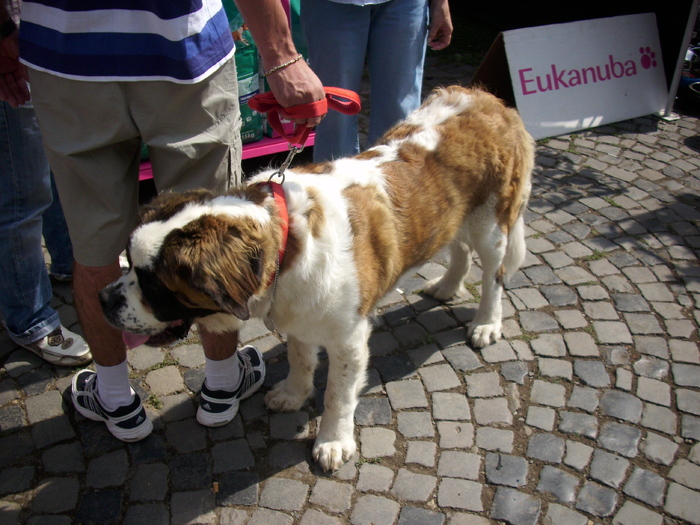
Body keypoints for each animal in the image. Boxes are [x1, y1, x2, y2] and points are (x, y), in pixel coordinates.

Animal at [100, 86, 536, 470]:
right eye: (128, 264)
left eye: (153, 285)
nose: (104, 300)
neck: (284, 244)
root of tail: (489, 100)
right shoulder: (298, 312)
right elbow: (300, 356)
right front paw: (294, 393)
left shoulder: (348, 338)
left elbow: (338, 395)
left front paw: (332, 441)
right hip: (454, 215)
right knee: (458, 248)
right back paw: (446, 287)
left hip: (491, 223)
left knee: (494, 275)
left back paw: (486, 323)